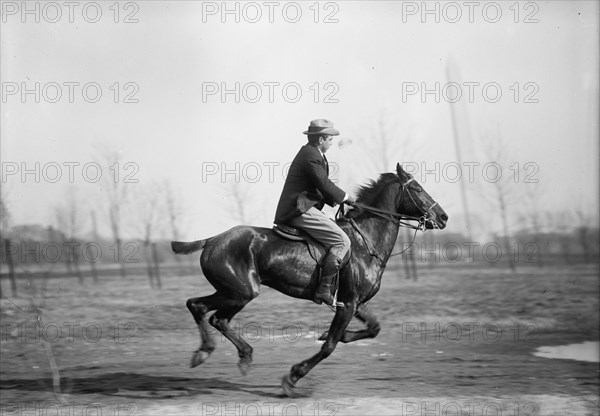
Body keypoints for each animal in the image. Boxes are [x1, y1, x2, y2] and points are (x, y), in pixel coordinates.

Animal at [171, 162, 448, 394]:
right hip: (241, 293)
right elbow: (330, 346)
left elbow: (372, 328)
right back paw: (210, 353)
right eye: (418, 189)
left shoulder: (354, 302)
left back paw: (236, 355)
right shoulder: (347, 304)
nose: (443, 217)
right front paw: (292, 377)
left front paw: (330, 335)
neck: (365, 242)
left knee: (210, 314)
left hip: (233, 293)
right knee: (205, 310)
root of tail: (212, 240)